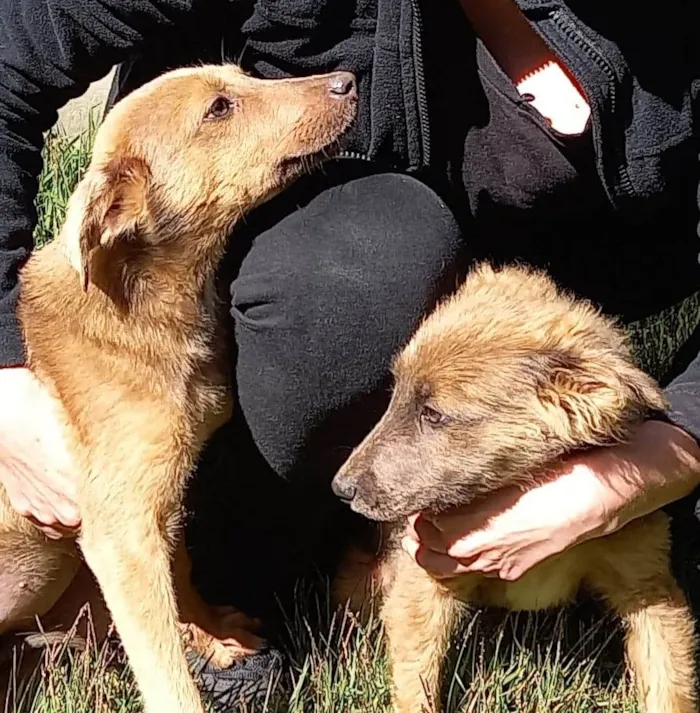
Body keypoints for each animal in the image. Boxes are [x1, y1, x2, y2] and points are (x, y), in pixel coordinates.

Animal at [0, 62, 358, 712]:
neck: (141, 309)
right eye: (218, 109)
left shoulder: (163, 496)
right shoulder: (120, 532)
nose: (348, 79)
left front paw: (215, 637)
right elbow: (163, 666)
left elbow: (182, 572)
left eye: (243, 77)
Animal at [332, 262, 696, 712]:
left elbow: (670, 684)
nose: (340, 489)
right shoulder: (421, 583)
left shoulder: (649, 585)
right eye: (395, 393)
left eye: (432, 414)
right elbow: (417, 682)